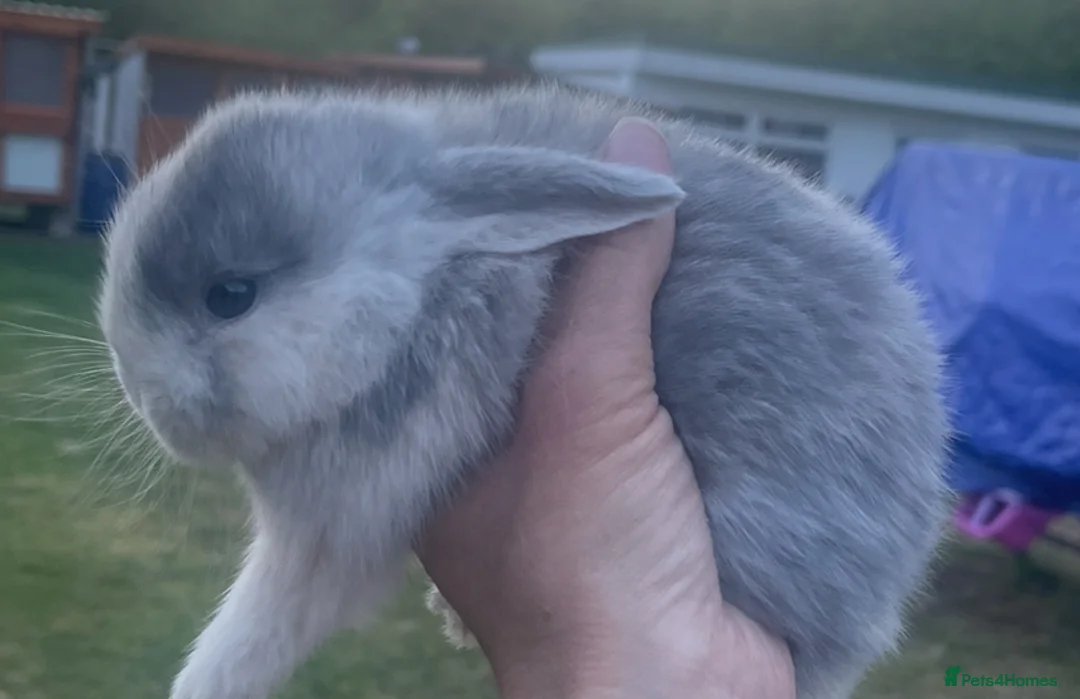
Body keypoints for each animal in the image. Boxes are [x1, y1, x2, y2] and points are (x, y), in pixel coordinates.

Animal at [95, 81, 951, 699]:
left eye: (230, 295)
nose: (137, 392)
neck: (424, 290)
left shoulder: (335, 529)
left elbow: (257, 628)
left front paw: (194, 687)